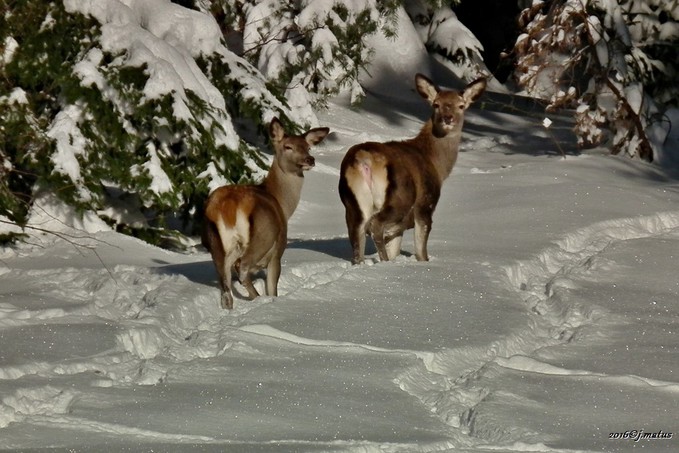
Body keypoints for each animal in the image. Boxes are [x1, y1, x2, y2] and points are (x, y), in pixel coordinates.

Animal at [202, 117, 330, 308]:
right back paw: (258, 299)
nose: (310, 159)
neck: (282, 203)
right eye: (288, 146)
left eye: (308, 147)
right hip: (264, 235)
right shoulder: (278, 251)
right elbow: (272, 287)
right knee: (242, 268)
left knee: (226, 290)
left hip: (216, 244)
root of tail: (227, 206)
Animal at [338, 74, 486, 264]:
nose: (448, 118)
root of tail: (364, 158)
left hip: (352, 204)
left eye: (461, 105)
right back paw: (384, 262)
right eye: (436, 104)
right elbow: (421, 251)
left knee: (357, 238)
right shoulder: (426, 202)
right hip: (400, 197)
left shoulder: (398, 228)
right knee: (375, 224)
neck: (437, 165)